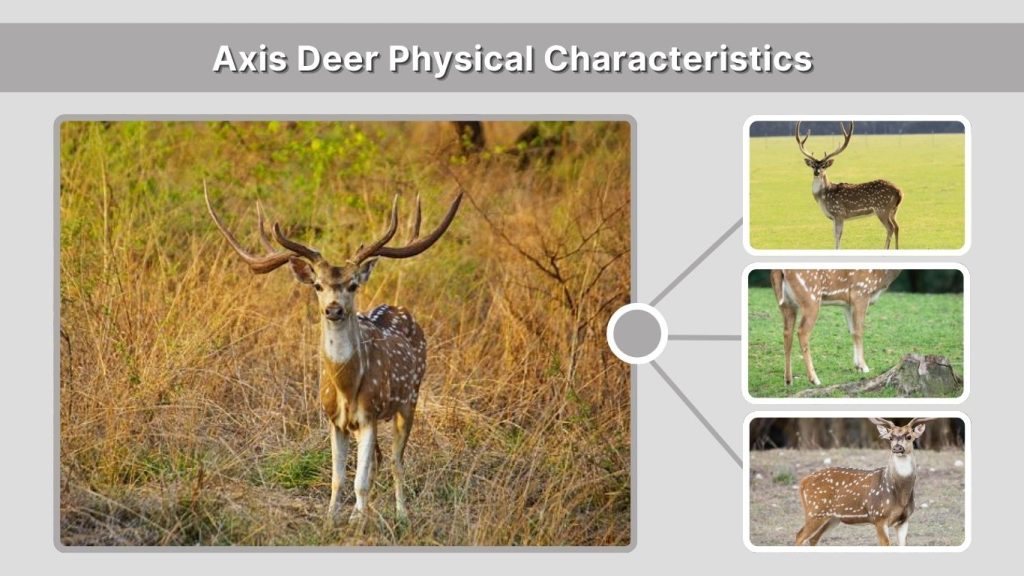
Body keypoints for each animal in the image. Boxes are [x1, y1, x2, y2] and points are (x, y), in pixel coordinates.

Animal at [204, 183, 462, 524]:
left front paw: (356, 521)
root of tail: (401, 309)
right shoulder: (334, 419)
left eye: (352, 285)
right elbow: (338, 477)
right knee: (380, 460)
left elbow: (360, 480)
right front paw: (331, 519)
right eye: (317, 285)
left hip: (410, 398)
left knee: (397, 461)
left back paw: (401, 514)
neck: (346, 385)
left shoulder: (369, 414)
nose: (334, 309)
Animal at [770, 269, 901, 386]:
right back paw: (814, 379)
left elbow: (853, 332)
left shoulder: (848, 304)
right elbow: (859, 331)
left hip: (786, 304)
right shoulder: (860, 292)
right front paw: (864, 367)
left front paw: (858, 366)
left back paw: (788, 380)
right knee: (802, 332)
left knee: (787, 333)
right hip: (811, 298)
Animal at [795, 121, 904, 250]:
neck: (824, 197)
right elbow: (835, 236)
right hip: (894, 210)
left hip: (882, 208)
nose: (816, 172)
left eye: (824, 166)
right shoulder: (834, 217)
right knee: (897, 226)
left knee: (890, 227)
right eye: (813, 165)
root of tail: (900, 192)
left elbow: (838, 236)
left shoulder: (839, 213)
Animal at [795, 417, 935, 546]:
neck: (900, 495)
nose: (897, 448)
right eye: (890, 437)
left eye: (909, 436)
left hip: (833, 518)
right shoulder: (878, 516)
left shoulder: (904, 520)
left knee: (813, 538)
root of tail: (803, 482)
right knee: (799, 536)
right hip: (815, 510)